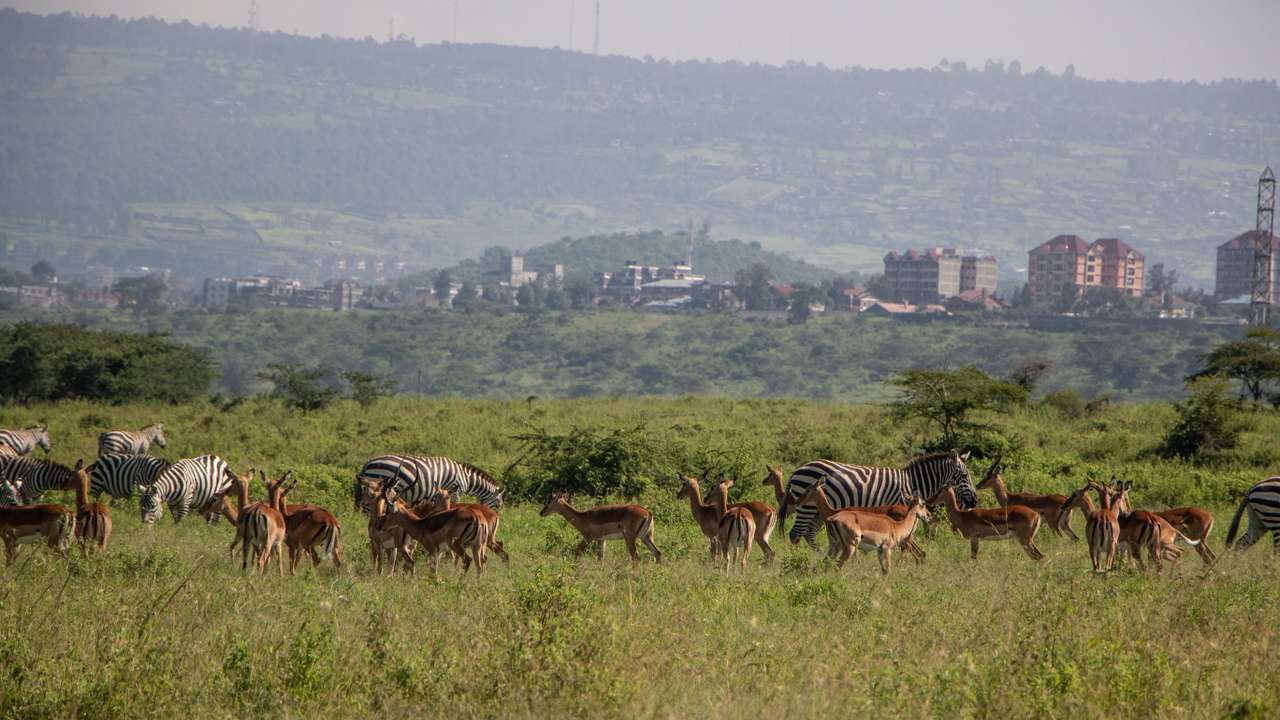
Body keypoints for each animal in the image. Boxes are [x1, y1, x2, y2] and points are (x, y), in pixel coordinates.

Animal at [778, 450, 979, 548]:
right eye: (964, 476)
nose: (974, 502)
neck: (911, 482)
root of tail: (798, 469)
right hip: (807, 507)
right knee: (795, 534)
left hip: (818, 511)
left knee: (809, 534)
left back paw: (818, 554)